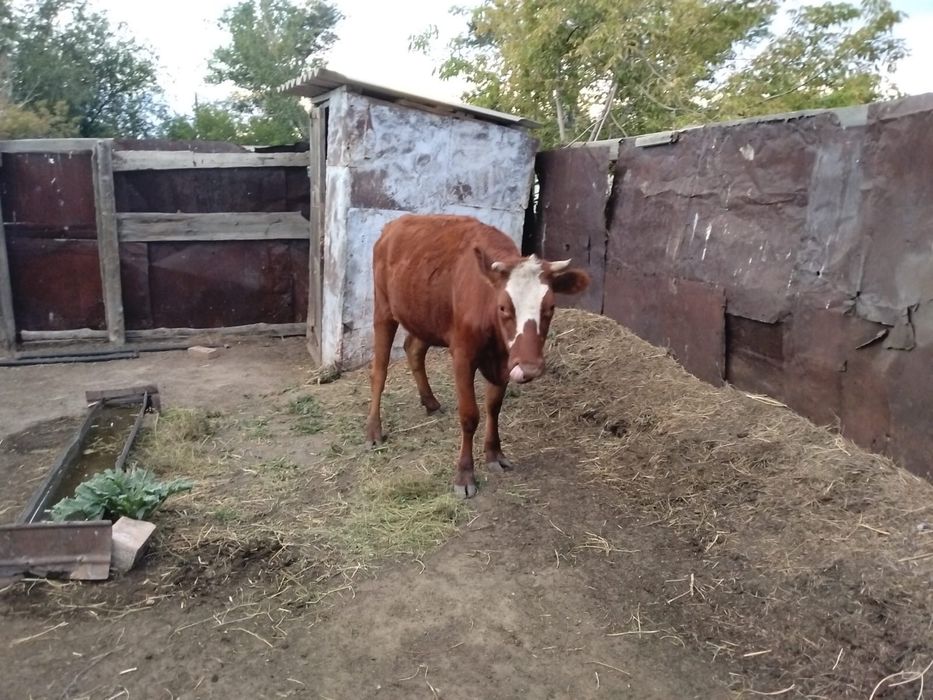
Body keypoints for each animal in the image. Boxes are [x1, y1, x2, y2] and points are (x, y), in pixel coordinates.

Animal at [365, 214, 590, 498]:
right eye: (503, 307)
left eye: (550, 306)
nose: (529, 368)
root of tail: (395, 224)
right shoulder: (463, 355)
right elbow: (470, 416)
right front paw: (464, 475)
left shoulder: (504, 361)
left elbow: (494, 406)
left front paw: (494, 454)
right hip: (383, 309)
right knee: (380, 370)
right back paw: (374, 430)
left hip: (425, 315)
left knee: (413, 349)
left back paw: (430, 401)